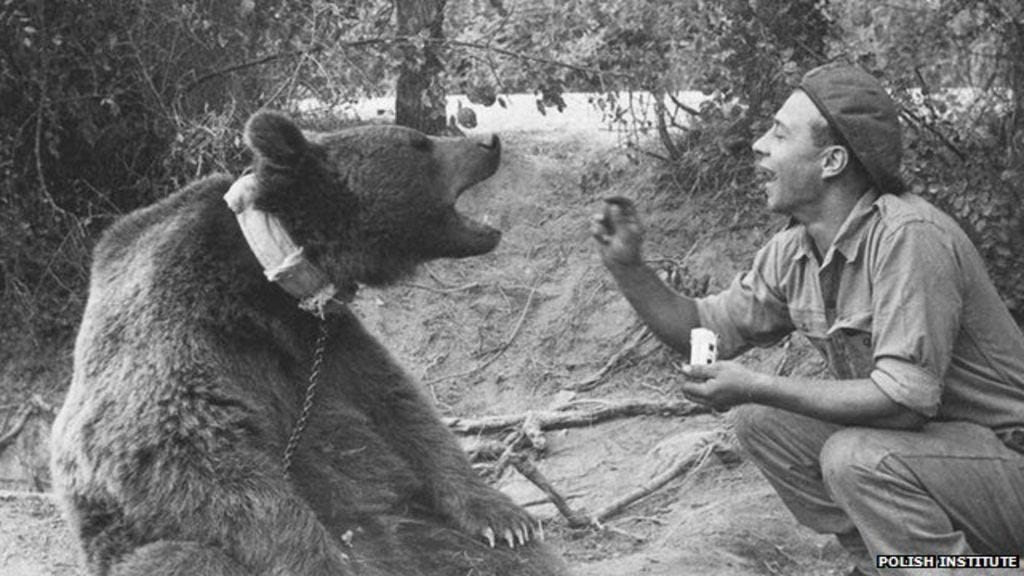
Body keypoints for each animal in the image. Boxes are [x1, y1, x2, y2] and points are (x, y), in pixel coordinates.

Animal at [49, 108, 569, 573]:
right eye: (419, 143)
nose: (490, 142)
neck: (274, 278)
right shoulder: (181, 332)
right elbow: (189, 451)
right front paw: (320, 558)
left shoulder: (328, 340)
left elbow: (401, 408)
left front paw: (505, 517)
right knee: (186, 559)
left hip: (420, 530)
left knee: (511, 562)